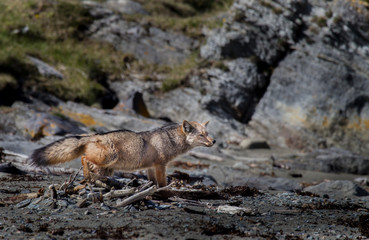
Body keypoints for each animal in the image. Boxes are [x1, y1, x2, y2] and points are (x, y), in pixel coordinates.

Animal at [29, 121, 216, 187]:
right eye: (201, 135)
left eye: (207, 133)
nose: (214, 141)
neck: (171, 139)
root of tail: (91, 135)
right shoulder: (160, 165)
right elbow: (162, 182)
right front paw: (165, 192)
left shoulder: (151, 167)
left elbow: (152, 182)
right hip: (108, 159)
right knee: (84, 158)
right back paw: (87, 176)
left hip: (107, 166)